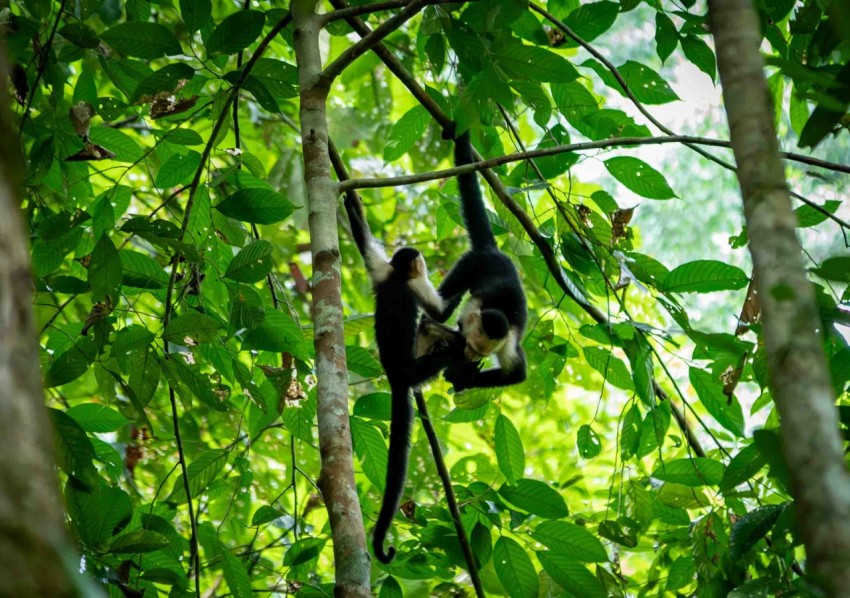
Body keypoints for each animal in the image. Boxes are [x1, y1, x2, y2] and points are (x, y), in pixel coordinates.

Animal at [342, 195, 464, 564]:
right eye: (418, 261)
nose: (422, 262)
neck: (398, 277)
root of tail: (397, 376)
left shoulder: (384, 272)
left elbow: (365, 246)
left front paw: (350, 202)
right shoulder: (413, 284)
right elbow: (439, 312)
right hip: (418, 366)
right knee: (439, 336)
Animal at [434, 130, 528, 394]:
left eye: (481, 353)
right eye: (473, 348)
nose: (472, 357)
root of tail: (492, 250)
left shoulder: (507, 343)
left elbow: (516, 374)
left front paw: (464, 377)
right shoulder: (470, 315)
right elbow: (457, 323)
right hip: (471, 262)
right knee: (443, 303)